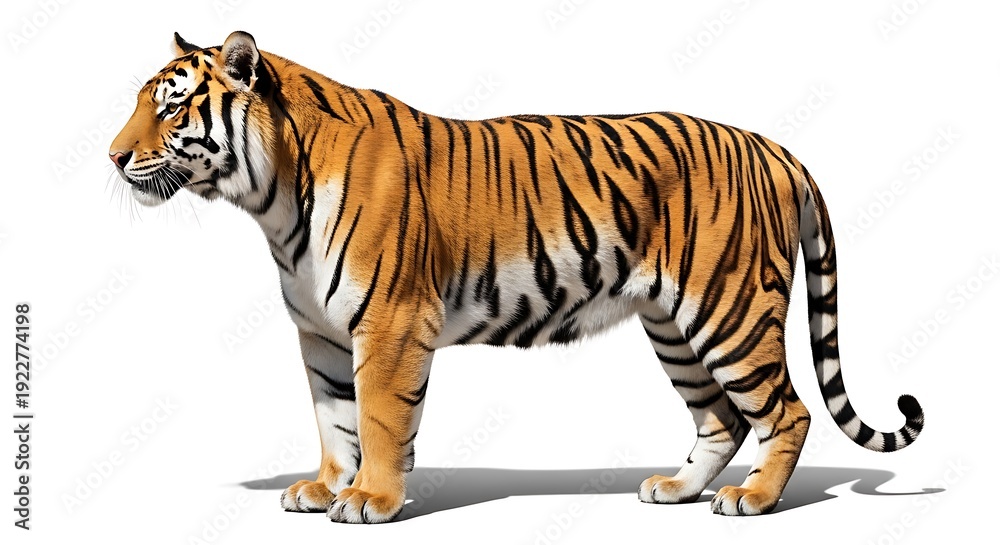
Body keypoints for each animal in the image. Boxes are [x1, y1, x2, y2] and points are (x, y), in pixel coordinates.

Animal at [109, 31, 924, 523]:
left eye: (172, 107)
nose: (113, 156)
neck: (274, 196)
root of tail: (772, 145)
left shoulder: (391, 322)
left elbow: (378, 419)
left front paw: (372, 498)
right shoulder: (321, 331)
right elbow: (334, 418)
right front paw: (325, 487)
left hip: (731, 312)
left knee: (787, 410)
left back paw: (750, 499)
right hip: (673, 326)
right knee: (720, 417)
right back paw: (676, 490)